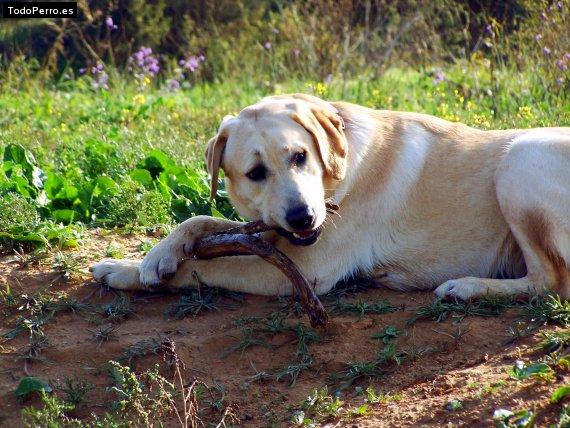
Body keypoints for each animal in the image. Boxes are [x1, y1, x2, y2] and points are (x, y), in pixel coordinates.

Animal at [90, 93, 568, 300]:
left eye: (300, 156)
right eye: (256, 173)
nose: (303, 218)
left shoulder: (307, 270)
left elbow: (206, 268)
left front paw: (125, 271)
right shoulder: (269, 229)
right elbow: (200, 222)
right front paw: (155, 257)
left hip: (518, 160)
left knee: (551, 282)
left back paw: (466, 287)